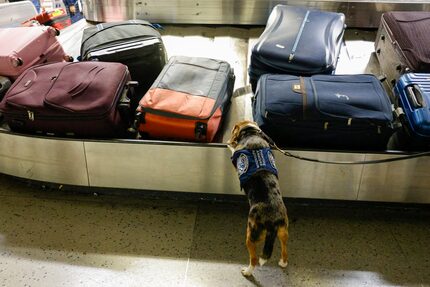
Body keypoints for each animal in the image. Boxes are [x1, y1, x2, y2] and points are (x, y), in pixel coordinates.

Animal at [225, 121, 288, 276]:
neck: (251, 132)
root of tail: (273, 221)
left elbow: (233, 149)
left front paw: (229, 143)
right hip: (284, 232)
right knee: (285, 249)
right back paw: (283, 263)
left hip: (251, 235)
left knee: (253, 259)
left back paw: (247, 271)